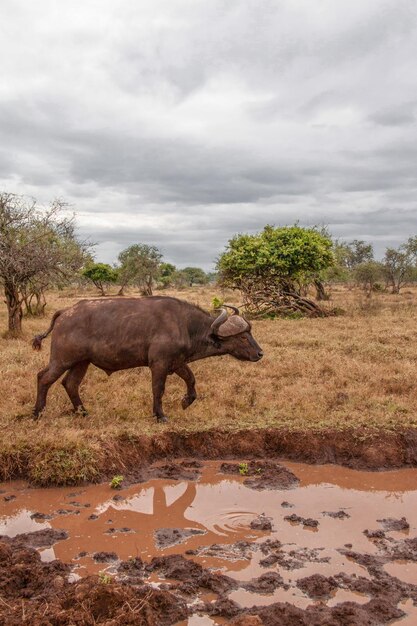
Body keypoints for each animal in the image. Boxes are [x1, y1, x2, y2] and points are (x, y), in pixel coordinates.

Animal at [31, 296, 264, 422]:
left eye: (250, 333)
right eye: (243, 337)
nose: (260, 354)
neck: (184, 324)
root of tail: (65, 312)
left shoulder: (176, 363)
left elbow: (191, 379)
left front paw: (186, 401)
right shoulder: (159, 365)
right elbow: (158, 389)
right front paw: (160, 415)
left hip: (81, 362)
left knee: (70, 383)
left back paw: (83, 412)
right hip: (62, 360)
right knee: (44, 378)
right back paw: (37, 413)